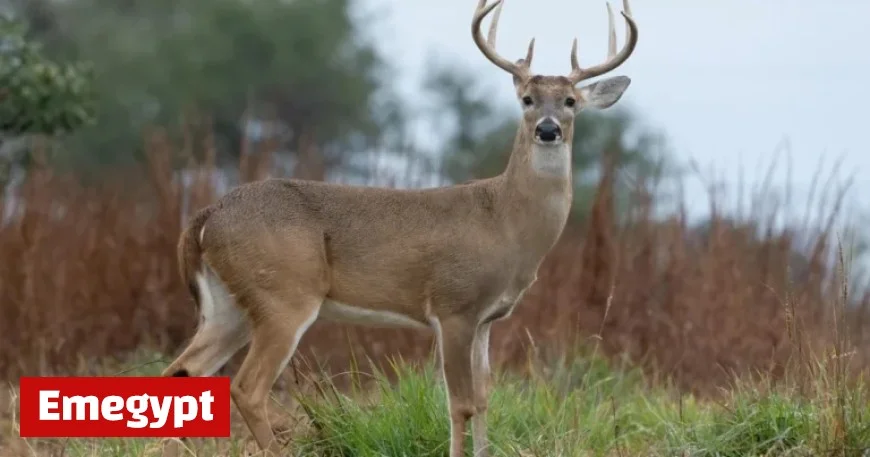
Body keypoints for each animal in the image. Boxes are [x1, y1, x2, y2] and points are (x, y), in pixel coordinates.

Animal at [159, 0, 638, 455]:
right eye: (527, 99)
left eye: (570, 101)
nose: (548, 129)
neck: (504, 220)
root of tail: (207, 215)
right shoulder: (453, 305)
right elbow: (460, 404)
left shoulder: (487, 318)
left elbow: (485, 399)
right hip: (283, 295)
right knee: (247, 387)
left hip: (229, 305)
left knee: (181, 371)